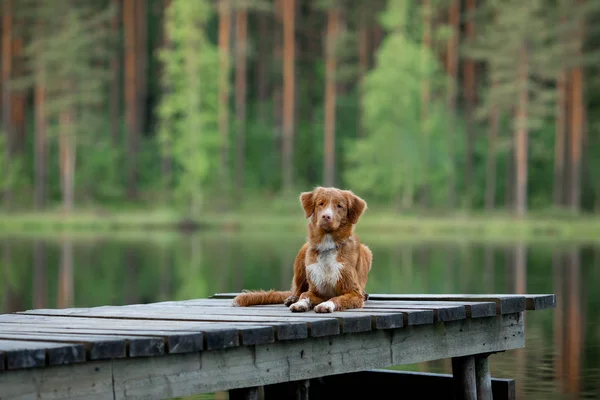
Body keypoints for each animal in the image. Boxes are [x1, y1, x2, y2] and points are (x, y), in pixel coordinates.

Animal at [232, 186, 372, 314]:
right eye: (321, 203)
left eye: (339, 206)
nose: (326, 216)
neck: (327, 246)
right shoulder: (316, 290)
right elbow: (305, 294)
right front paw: (300, 304)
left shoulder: (354, 293)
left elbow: (336, 298)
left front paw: (326, 305)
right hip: (303, 254)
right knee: (298, 290)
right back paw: (292, 298)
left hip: (367, 250)